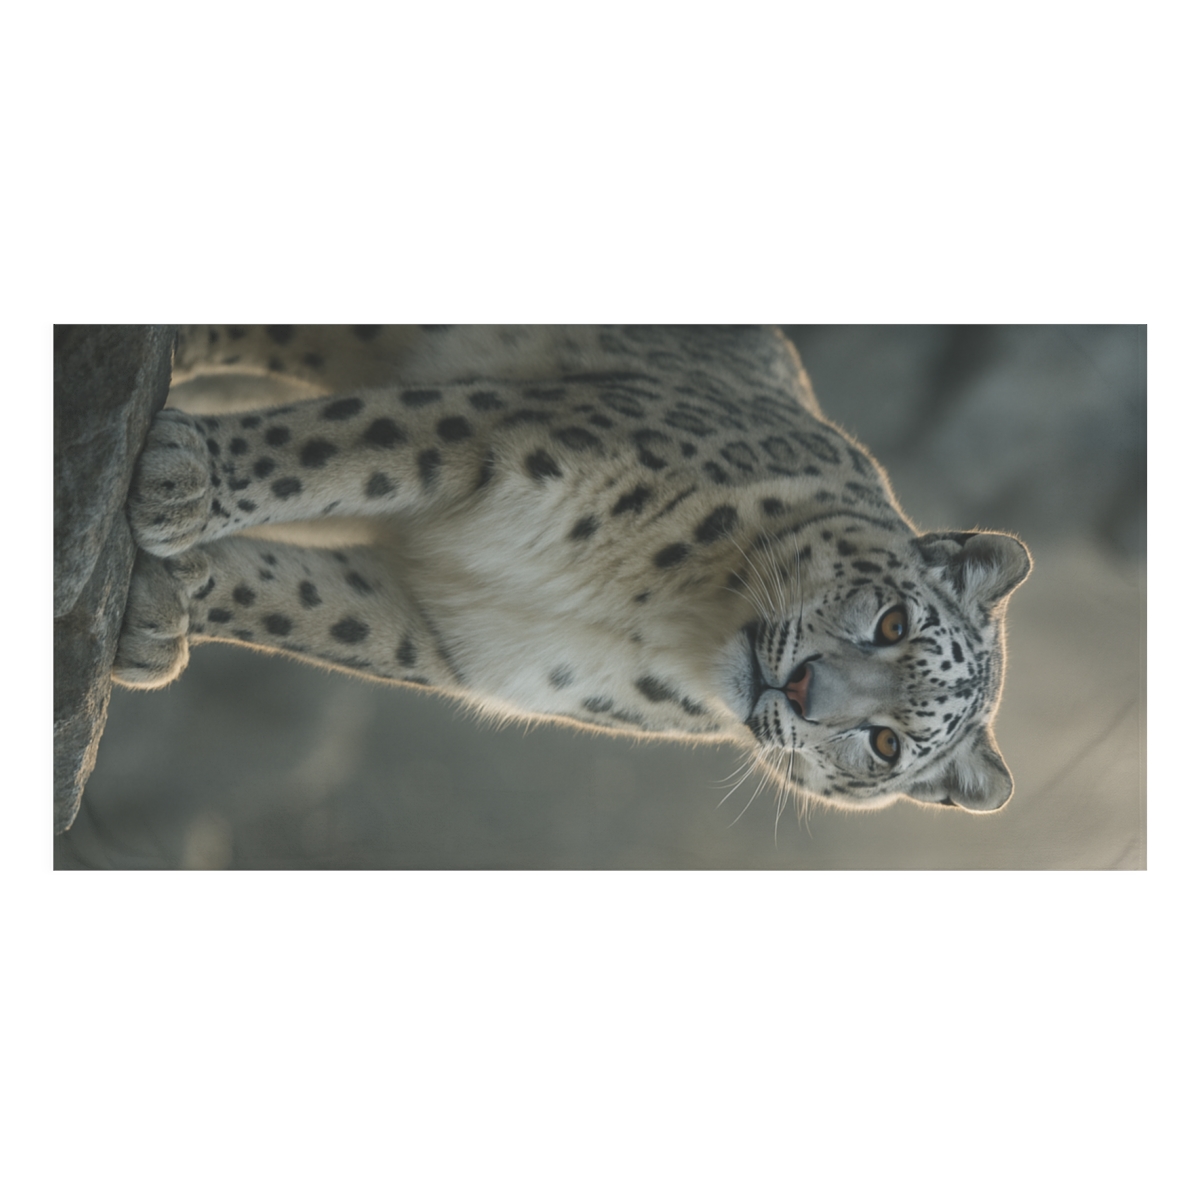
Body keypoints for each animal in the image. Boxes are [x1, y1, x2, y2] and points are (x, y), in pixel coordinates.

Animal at [113, 325, 1032, 813]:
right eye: (893, 620)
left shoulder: (458, 637)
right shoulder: (516, 432)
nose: (803, 689)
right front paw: (183, 479)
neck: (654, 608)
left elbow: (306, 608)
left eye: (886, 744)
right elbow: (340, 445)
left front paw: (163, 608)